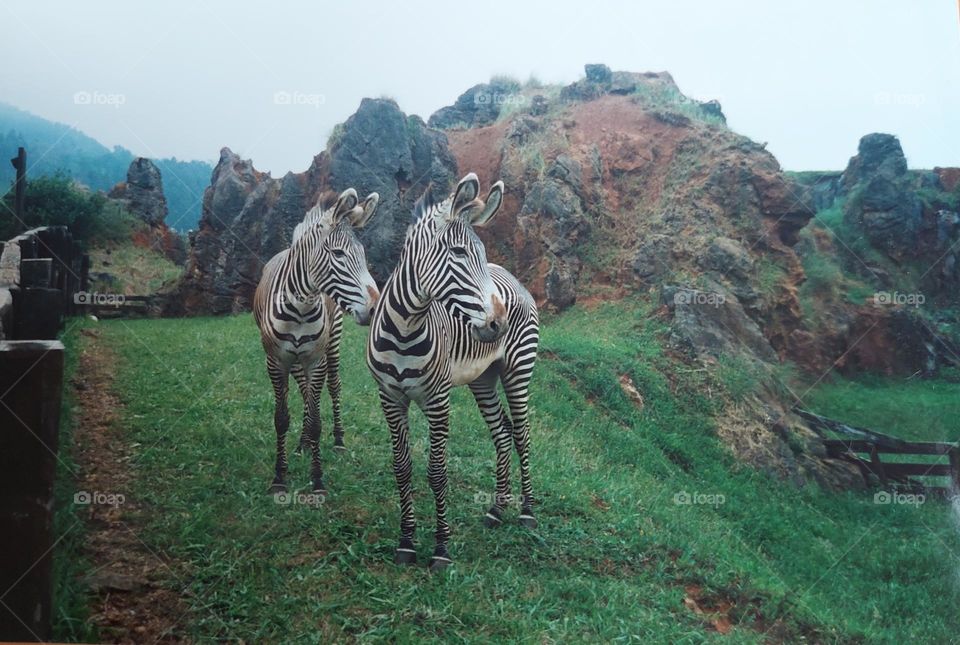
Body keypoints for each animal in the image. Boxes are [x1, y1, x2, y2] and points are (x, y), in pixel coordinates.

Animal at [253, 187, 380, 496]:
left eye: (362, 254)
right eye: (338, 254)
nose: (374, 308)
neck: (300, 306)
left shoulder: (315, 360)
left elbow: (316, 422)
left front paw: (318, 479)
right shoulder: (275, 361)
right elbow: (281, 418)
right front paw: (279, 476)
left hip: (331, 345)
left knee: (333, 388)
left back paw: (337, 441)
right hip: (296, 360)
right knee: (304, 393)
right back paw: (301, 445)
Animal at [367, 173, 540, 571]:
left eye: (482, 254)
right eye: (459, 253)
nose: (498, 325)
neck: (405, 327)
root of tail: (513, 277)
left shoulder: (437, 400)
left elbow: (436, 472)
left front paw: (442, 548)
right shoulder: (390, 398)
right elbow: (402, 467)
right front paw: (407, 543)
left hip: (517, 370)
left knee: (522, 434)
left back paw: (526, 511)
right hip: (483, 379)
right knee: (502, 433)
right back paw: (496, 510)